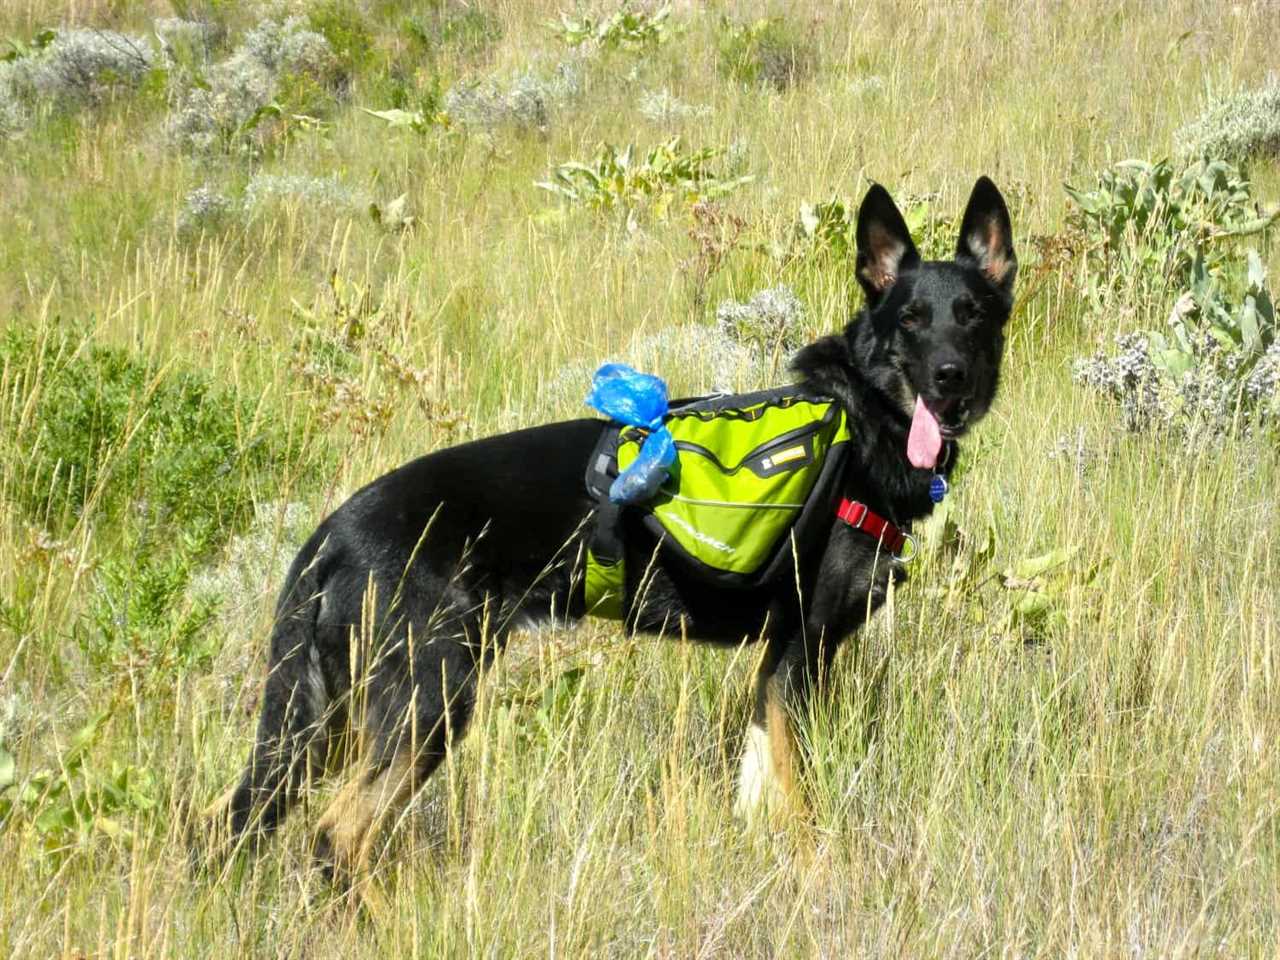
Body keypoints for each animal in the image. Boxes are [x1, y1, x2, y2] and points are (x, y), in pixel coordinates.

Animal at [204, 179, 1013, 885]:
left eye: (972, 315)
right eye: (911, 320)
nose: (951, 377)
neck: (863, 420)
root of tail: (330, 533)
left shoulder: (775, 666)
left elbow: (758, 792)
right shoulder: (802, 653)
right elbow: (800, 803)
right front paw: (821, 880)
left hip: (330, 719)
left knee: (232, 820)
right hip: (425, 701)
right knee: (337, 834)